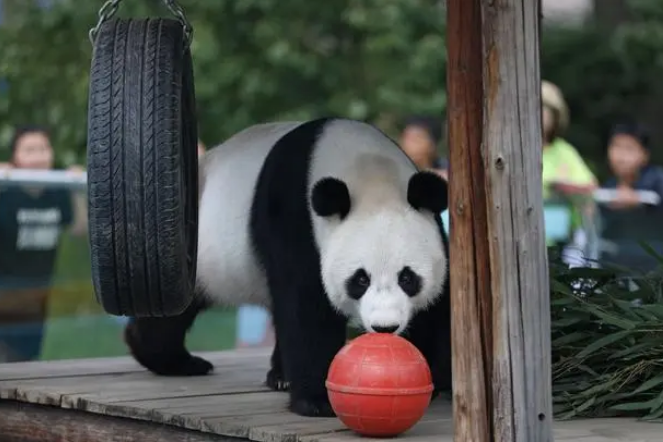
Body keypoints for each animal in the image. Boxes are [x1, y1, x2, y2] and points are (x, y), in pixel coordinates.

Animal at [124, 117, 452, 418]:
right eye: (359, 280)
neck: (370, 173)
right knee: (177, 306)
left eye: (408, 278)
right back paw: (173, 360)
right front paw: (317, 401)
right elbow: (305, 306)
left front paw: (440, 380)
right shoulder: (293, 216)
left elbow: (439, 308)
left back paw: (278, 376)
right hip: (193, 250)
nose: (385, 327)